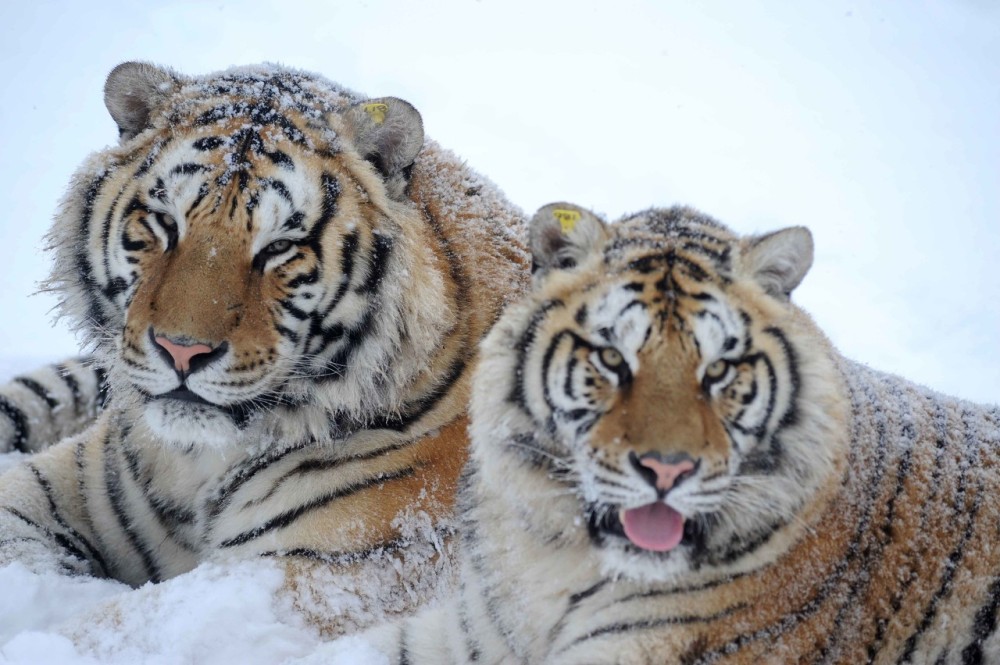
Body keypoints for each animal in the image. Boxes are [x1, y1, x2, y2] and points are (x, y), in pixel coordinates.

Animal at [0, 61, 530, 636]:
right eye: (165, 223)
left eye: (279, 248)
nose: (181, 352)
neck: (195, 465)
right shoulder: (67, 483)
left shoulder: (324, 570)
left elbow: (113, 630)